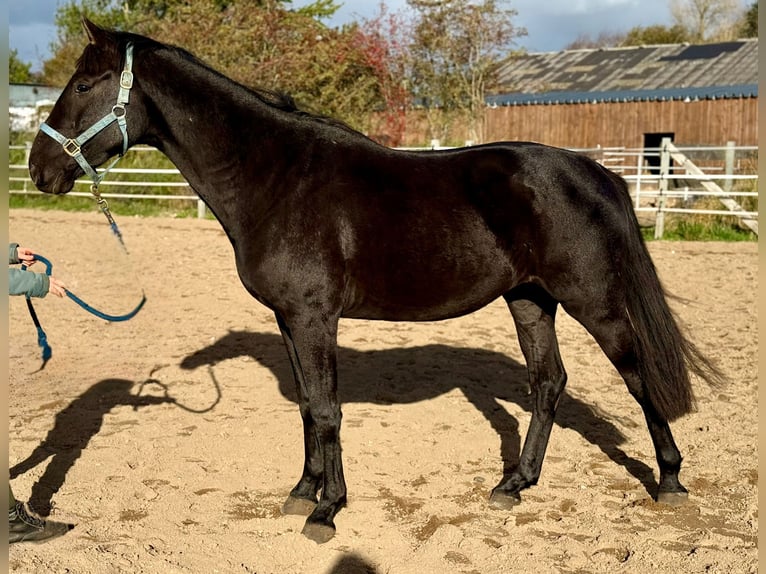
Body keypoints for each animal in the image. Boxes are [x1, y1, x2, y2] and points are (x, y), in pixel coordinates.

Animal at [28, 19, 721, 543]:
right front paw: (301, 490)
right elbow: (307, 406)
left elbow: (328, 409)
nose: (39, 169)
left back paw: (669, 481)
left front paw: (326, 511)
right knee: (548, 383)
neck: (276, 178)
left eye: (84, 83)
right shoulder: (290, 319)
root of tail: (592, 171)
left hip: (591, 300)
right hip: (530, 300)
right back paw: (513, 485)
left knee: (637, 376)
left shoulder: (314, 316)